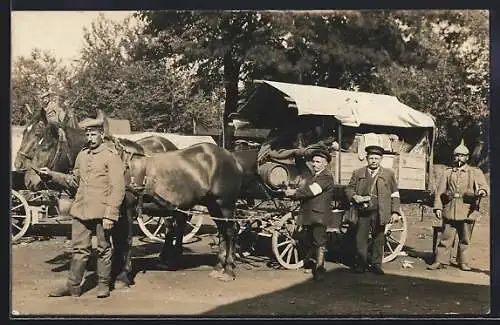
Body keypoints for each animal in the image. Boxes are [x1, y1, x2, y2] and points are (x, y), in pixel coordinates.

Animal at [14, 105, 249, 280]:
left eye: (42, 140)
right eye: (25, 133)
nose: (28, 178)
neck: (113, 160)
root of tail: (230, 156)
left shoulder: (126, 207)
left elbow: (125, 240)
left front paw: (123, 275)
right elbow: (117, 241)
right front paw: (115, 268)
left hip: (225, 203)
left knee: (230, 230)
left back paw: (227, 269)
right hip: (211, 204)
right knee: (215, 229)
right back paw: (215, 265)